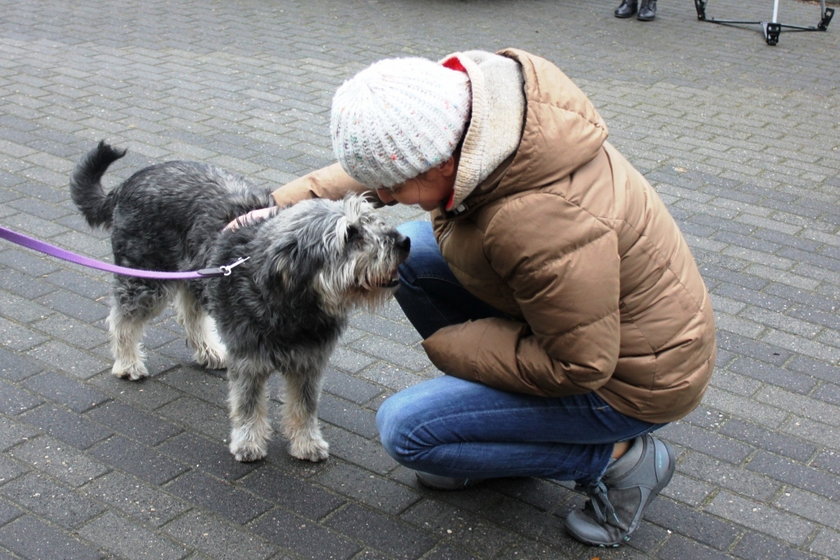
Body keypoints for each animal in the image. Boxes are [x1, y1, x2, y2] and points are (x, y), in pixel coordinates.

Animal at [69, 142, 410, 462]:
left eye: (371, 220)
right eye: (350, 234)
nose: (403, 242)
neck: (294, 306)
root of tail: (128, 183)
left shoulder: (309, 363)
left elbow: (304, 407)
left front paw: (307, 443)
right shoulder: (250, 360)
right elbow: (248, 405)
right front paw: (248, 443)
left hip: (195, 275)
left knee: (189, 313)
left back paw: (208, 351)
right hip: (145, 277)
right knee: (122, 318)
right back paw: (128, 362)